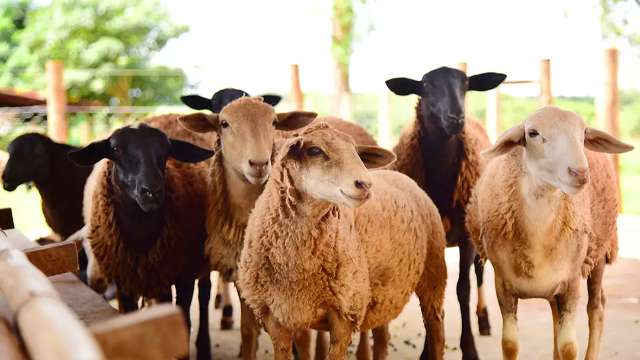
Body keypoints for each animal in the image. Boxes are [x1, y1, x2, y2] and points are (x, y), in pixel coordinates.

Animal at [69, 121, 215, 360]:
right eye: (116, 149)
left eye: (166, 149)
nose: (152, 191)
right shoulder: (125, 279)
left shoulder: (183, 276)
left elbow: (184, 325)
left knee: (205, 294)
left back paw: (204, 347)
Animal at [238, 122, 448, 360]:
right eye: (314, 150)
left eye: (356, 152)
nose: (365, 184)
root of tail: (400, 175)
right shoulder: (277, 318)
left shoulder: (345, 313)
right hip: (382, 295)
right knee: (382, 339)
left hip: (433, 276)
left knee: (436, 330)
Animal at [384, 65, 504, 360]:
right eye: (426, 86)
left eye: (466, 84)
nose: (456, 117)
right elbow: (428, 292)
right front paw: (428, 350)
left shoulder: (467, 237)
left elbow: (463, 289)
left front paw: (470, 349)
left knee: (479, 274)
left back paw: (484, 321)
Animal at [464, 106, 636, 360]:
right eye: (533, 133)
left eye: (583, 134)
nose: (580, 173)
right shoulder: (503, 284)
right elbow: (510, 344)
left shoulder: (571, 282)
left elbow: (568, 347)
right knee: (557, 318)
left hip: (598, 253)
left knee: (596, 308)